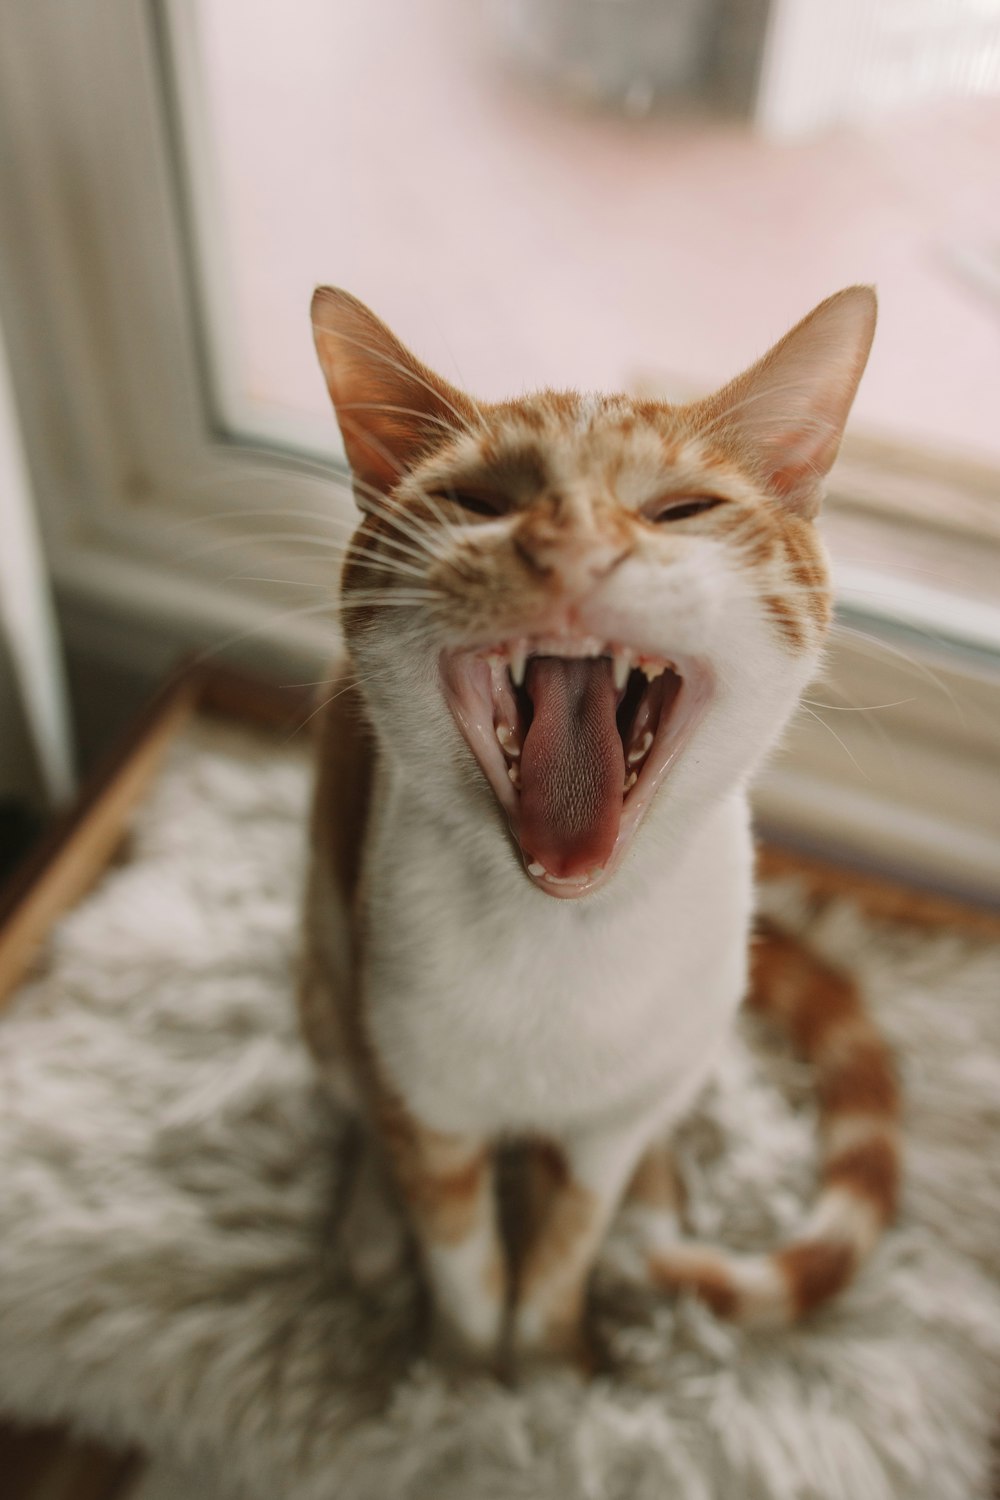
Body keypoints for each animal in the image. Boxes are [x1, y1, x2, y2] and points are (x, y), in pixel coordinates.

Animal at [296, 282, 899, 1374]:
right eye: (477, 500)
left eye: (682, 510)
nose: (571, 541)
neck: (561, 935)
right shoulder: (426, 1099)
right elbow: (461, 1258)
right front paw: (458, 1382)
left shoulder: (602, 1134)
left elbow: (564, 1248)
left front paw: (548, 1370)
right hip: (327, 966)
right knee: (355, 1089)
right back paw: (368, 1224)